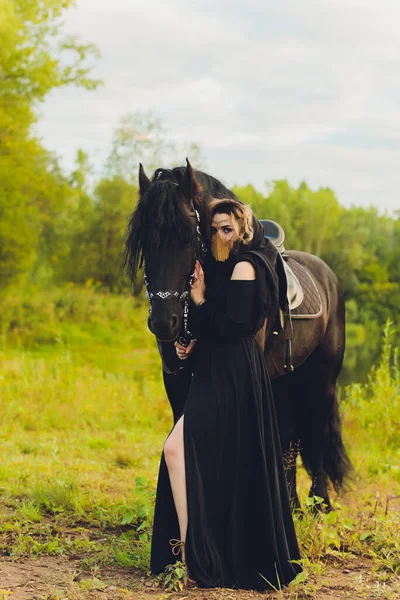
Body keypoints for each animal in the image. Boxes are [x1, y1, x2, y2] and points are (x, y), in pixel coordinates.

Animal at [124, 161, 350, 510]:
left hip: (321, 379)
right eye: (144, 239)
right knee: (291, 437)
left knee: (316, 430)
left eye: (188, 238)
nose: (164, 322)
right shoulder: (175, 377)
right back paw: (293, 504)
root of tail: (329, 277)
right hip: (285, 378)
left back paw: (319, 503)